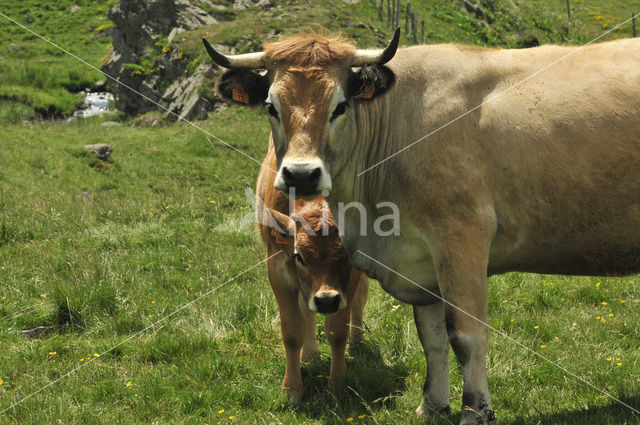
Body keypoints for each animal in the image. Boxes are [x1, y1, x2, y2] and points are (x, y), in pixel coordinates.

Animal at [204, 28, 640, 422]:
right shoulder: (421, 261)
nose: (300, 174)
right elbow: (431, 337)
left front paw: (475, 411)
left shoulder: (461, 241)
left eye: (340, 106)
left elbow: (465, 335)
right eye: (271, 107)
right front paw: (432, 404)